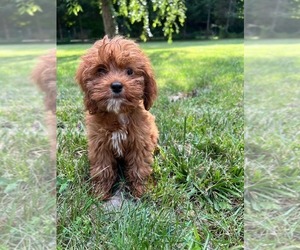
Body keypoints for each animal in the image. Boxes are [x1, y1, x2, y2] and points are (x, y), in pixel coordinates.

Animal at [76, 35, 158, 199]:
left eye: (129, 71)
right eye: (101, 70)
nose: (116, 86)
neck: (118, 113)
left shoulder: (140, 142)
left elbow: (139, 168)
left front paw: (141, 190)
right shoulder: (99, 145)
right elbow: (103, 170)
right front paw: (101, 192)